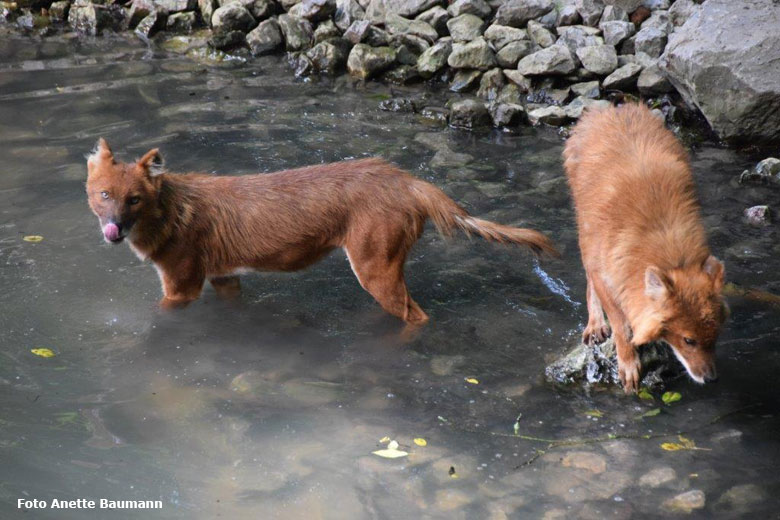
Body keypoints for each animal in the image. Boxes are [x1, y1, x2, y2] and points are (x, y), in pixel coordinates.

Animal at [88, 138, 556, 324]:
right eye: (104, 194)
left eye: (134, 200)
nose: (113, 230)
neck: (171, 210)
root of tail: (405, 179)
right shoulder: (224, 278)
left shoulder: (181, 288)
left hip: (372, 266)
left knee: (417, 316)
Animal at [564, 103, 728, 392]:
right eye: (688, 340)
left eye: (714, 336)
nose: (711, 379)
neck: (670, 254)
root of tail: (611, 109)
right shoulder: (605, 272)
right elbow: (620, 323)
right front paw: (628, 364)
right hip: (585, 228)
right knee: (588, 279)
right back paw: (595, 325)